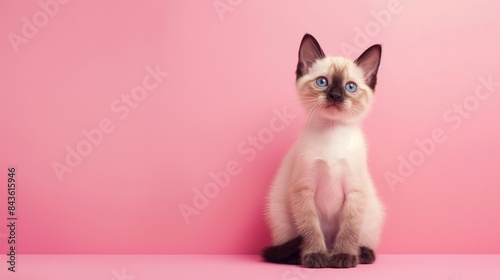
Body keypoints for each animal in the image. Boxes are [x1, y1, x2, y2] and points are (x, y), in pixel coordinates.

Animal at [264, 34, 384, 268]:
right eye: (322, 82)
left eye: (350, 87)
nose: (335, 95)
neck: (332, 132)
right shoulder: (303, 190)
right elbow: (311, 230)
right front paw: (315, 255)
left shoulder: (354, 191)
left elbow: (349, 231)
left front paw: (344, 256)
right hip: (279, 213)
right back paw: (303, 255)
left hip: (371, 214)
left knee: (360, 239)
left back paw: (361, 254)